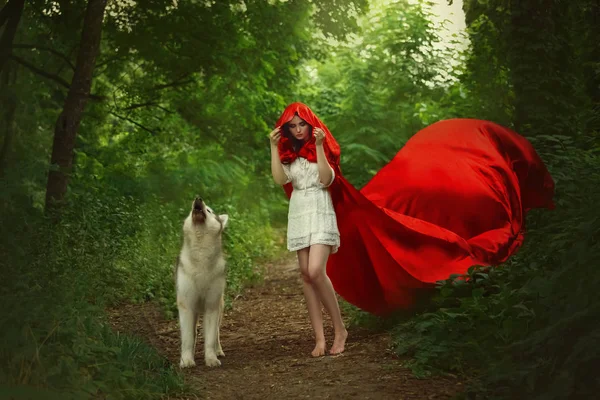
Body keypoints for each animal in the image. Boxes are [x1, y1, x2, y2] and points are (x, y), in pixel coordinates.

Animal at [177, 197, 229, 368]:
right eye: (191, 207)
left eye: (209, 211)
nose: (198, 198)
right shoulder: (187, 305)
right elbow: (188, 338)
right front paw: (186, 360)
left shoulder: (211, 306)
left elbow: (211, 339)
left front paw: (211, 359)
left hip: (218, 307)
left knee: (216, 334)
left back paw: (218, 351)